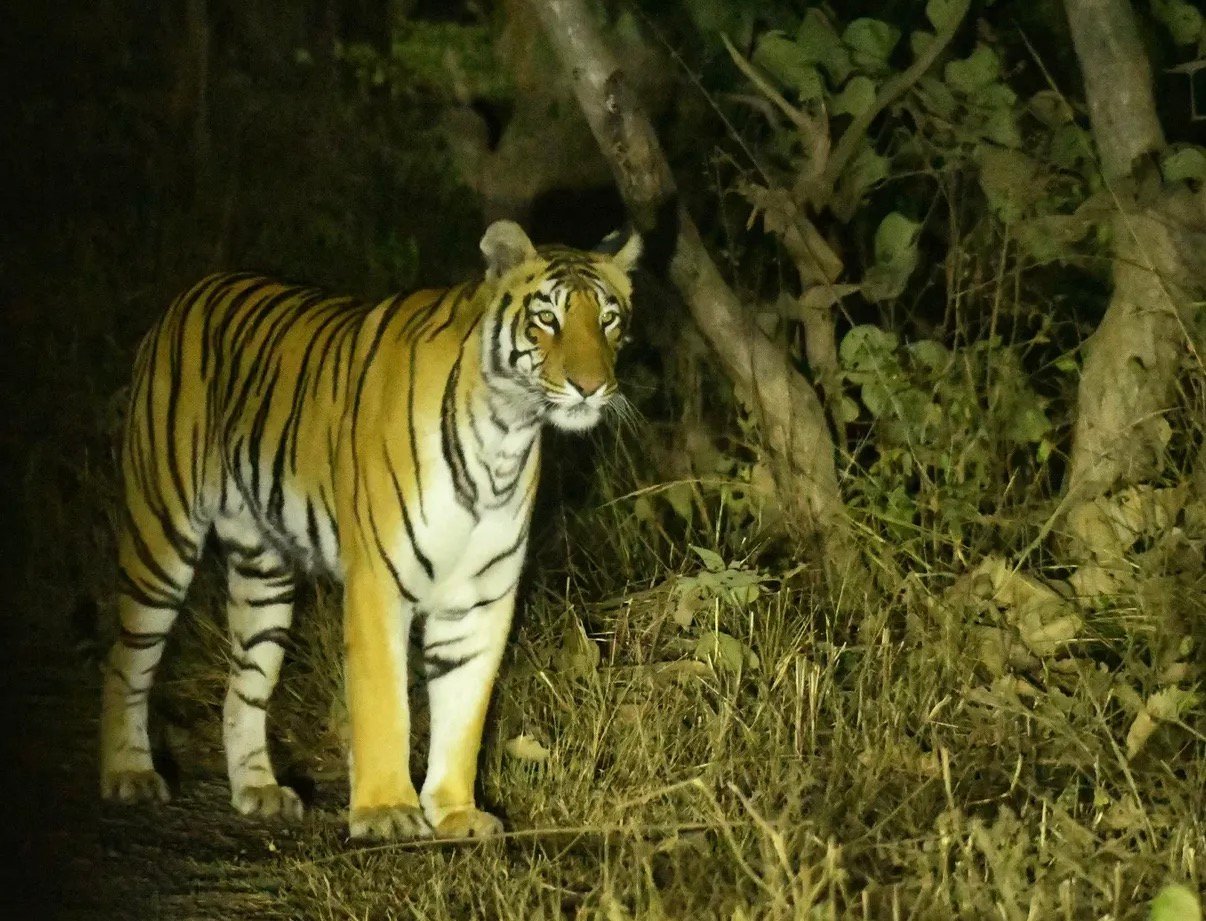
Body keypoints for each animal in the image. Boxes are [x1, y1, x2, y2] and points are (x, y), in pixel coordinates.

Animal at [100, 219, 642, 839]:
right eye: (547, 317)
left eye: (609, 319)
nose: (590, 386)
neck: (507, 432)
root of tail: (191, 293)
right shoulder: (378, 581)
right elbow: (384, 702)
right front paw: (386, 811)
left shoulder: (480, 599)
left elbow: (465, 711)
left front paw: (456, 812)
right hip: (162, 533)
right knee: (124, 660)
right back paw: (129, 774)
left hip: (264, 578)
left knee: (244, 689)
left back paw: (260, 790)